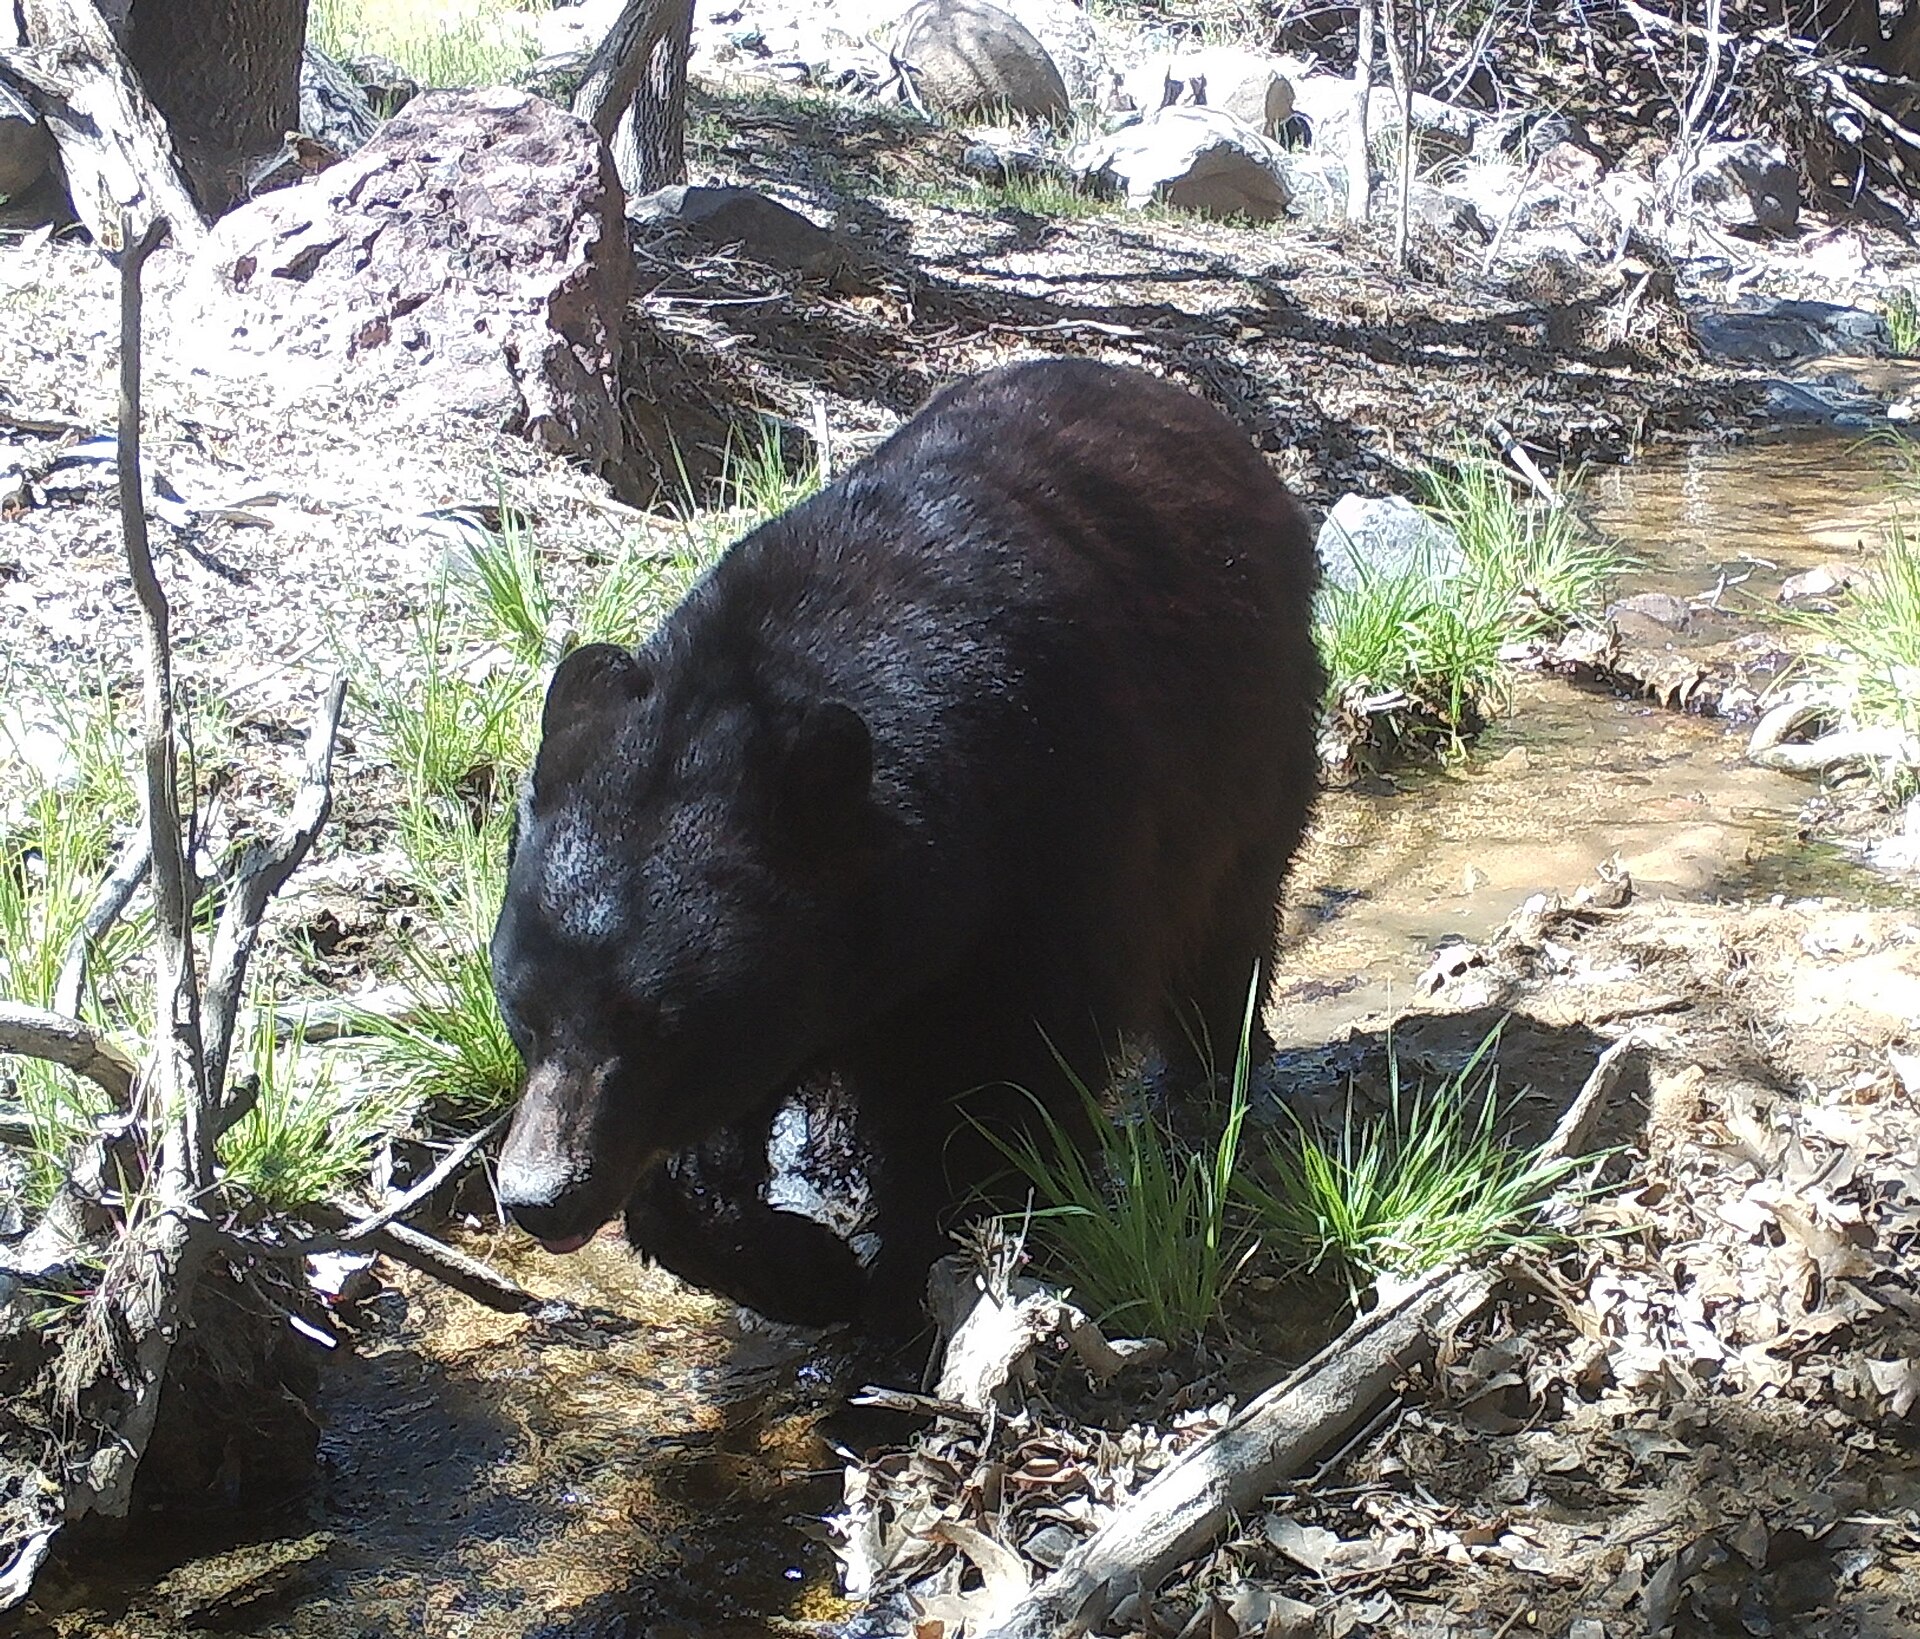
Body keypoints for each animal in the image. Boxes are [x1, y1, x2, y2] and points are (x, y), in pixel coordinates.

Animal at [489, 357, 1323, 1335]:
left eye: (660, 1023)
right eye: (522, 1007)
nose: (540, 1198)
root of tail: (1194, 409)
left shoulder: (1060, 839)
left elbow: (1008, 1080)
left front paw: (908, 1269)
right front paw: (798, 1265)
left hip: (1250, 737)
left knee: (1226, 922)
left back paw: (1207, 1078)